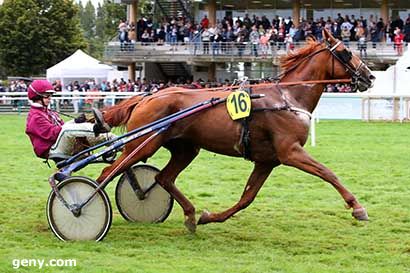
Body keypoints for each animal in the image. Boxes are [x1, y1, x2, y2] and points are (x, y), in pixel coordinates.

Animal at [99, 29, 374, 232]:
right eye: (346, 52)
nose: (370, 76)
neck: (287, 98)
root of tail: (146, 96)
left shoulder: (267, 160)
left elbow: (246, 198)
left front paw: (209, 216)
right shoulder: (290, 152)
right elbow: (328, 173)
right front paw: (357, 207)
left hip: (185, 149)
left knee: (163, 178)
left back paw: (190, 215)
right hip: (141, 144)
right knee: (107, 173)